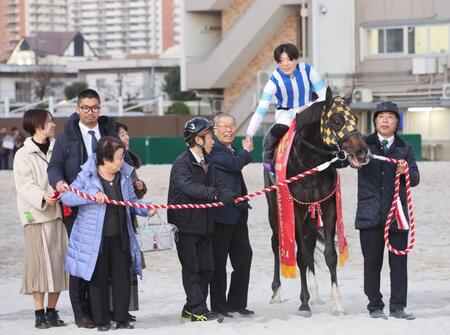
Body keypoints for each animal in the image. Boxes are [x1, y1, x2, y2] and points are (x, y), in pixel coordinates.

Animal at [264, 87, 370, 318]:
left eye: (355, 117)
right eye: (336, 120)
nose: (362, 152)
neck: (309, 162)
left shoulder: (327, 203)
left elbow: (329, 254)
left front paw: (337, 304)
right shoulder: (295, 206)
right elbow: (301, 255)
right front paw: (303, 303)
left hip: (312, 212)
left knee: (311, 243)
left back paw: (315, 294)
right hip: (275, 208)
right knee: (277, 243)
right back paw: (276, 292)